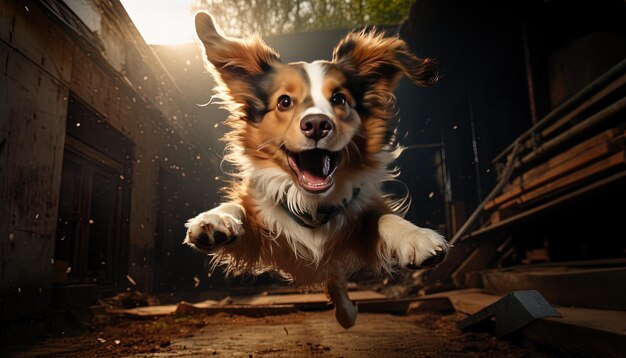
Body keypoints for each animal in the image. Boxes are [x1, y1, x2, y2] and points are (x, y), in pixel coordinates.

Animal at [184, 12, 448, 328]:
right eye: (284, 101)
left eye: (339, 99)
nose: (317, 124)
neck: (310, 204)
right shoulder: (260, 229)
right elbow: (238, 207)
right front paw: (215, 220)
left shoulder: (358, 220)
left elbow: (383, 218)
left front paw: (414, 235)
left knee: (335, 281)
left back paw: (347, 314)